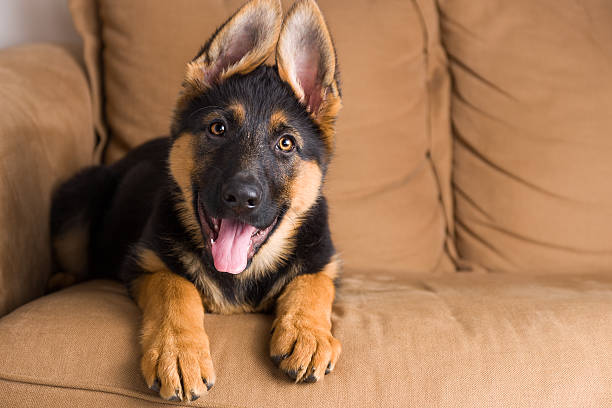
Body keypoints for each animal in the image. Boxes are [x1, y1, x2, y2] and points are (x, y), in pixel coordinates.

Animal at [48, 0, 344, 402]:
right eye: (218, 128)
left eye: (286, 143)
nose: (241, 198)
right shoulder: (146, 264)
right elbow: (177, 288)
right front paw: (177, 353)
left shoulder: (324, 261)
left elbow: (313, 283)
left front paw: (307, 334)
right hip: (81, 193)